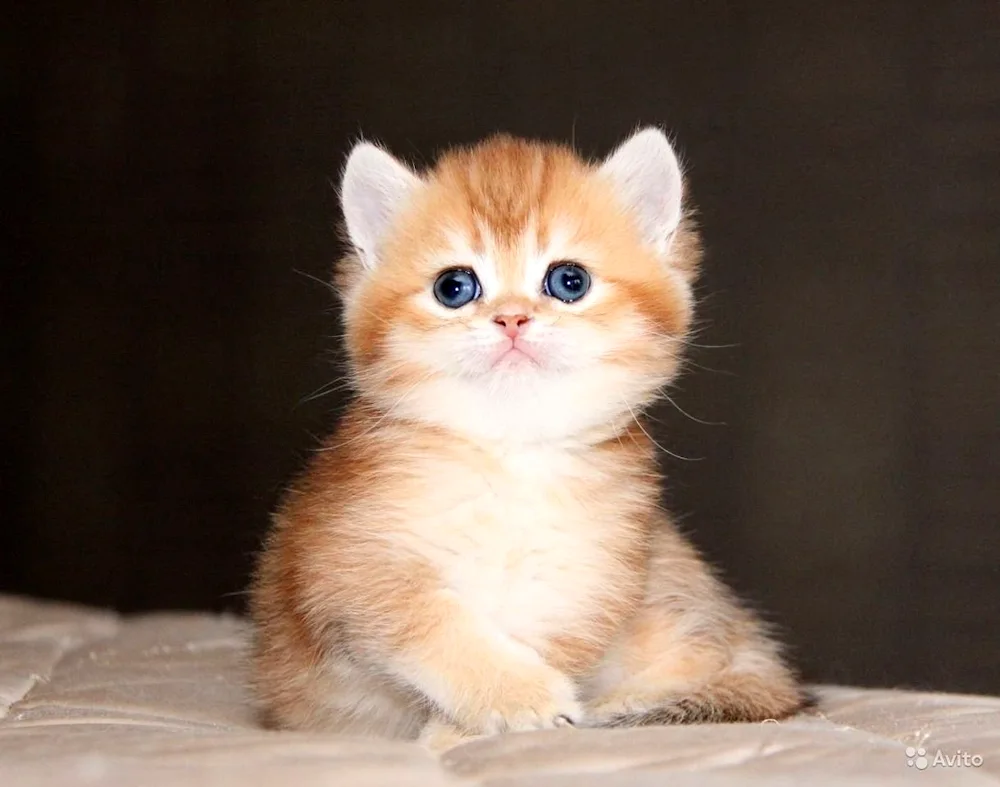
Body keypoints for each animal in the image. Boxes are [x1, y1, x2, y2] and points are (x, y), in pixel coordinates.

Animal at [250, 126, 804, 748]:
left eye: (569, 281)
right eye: (454, 287)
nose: (512, 318)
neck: (510, 456)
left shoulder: (589, 582)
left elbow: (546, 642)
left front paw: (464, 732)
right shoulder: (338, 561)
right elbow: (427, 621)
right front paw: (516, 697)